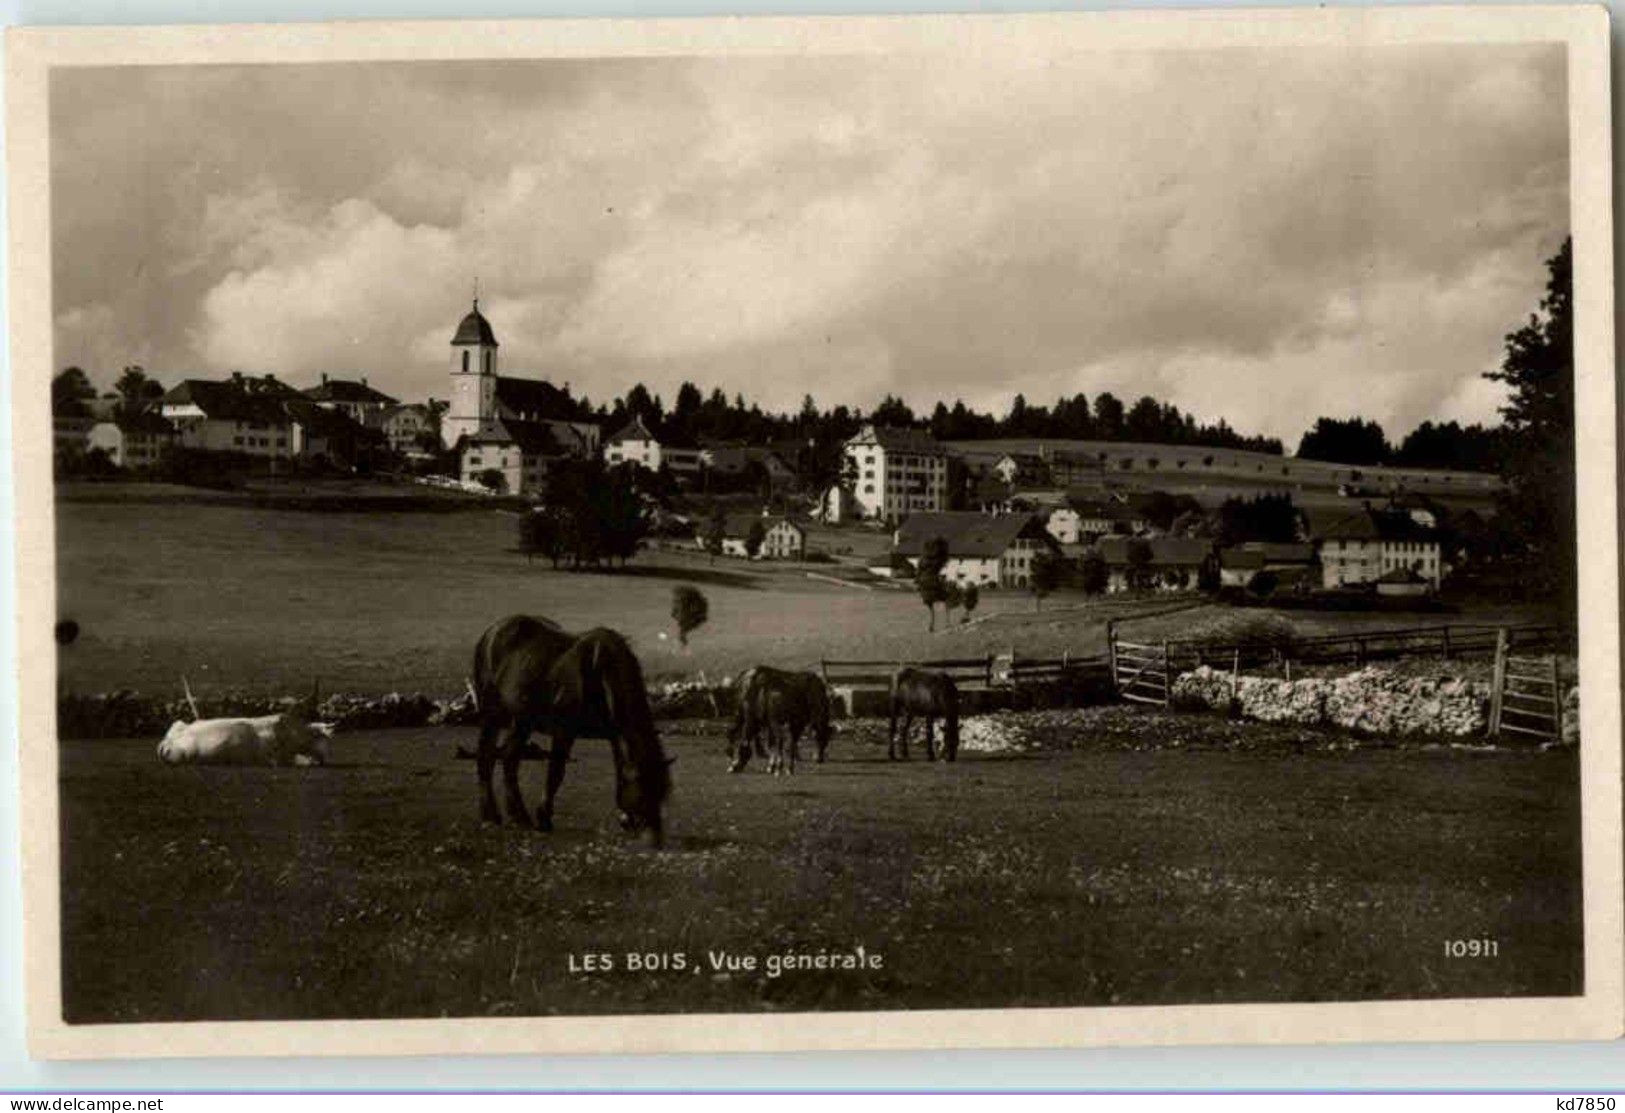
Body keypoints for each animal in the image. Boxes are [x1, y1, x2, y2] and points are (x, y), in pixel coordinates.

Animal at [471, 617, 672, 844]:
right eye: (643, 791)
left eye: (662, 793)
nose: (655, 839)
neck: (600, 672)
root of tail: (492, 631)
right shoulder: (564, 731)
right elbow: (556, 772)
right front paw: (544, 819)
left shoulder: (614, 734)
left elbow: (620, 768)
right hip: (492, 714)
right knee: (486, 758)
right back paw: (490, 817)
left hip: (522, 720)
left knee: (509, 760)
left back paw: (519, 818)